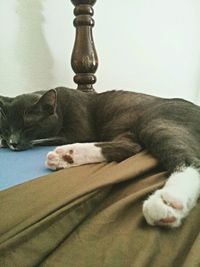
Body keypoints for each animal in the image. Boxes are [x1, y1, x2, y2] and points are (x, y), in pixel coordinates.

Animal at [0, 87, 200, 228]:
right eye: (7, 128)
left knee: (189, 162)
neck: (61, 106)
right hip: (129, 130)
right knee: (129, 148)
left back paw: (168, 201)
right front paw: (2, 141)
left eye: (28, 127)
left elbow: (45, 139)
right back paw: (65, 157)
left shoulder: (76, 132)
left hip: (156, 122)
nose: (13, 142)